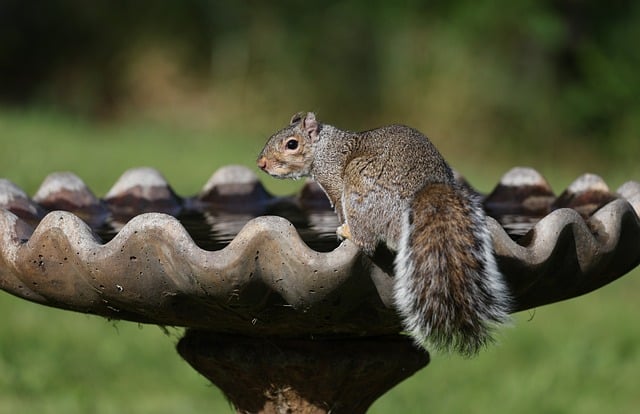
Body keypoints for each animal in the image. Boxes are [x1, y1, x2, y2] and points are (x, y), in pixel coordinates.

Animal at [255, 111, 510, 354]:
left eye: (292, 144)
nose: (261, 163)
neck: (325, 148)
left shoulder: (335, 183)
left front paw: (342, 228)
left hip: (359, 184)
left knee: (366, 241)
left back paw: (350, 233)